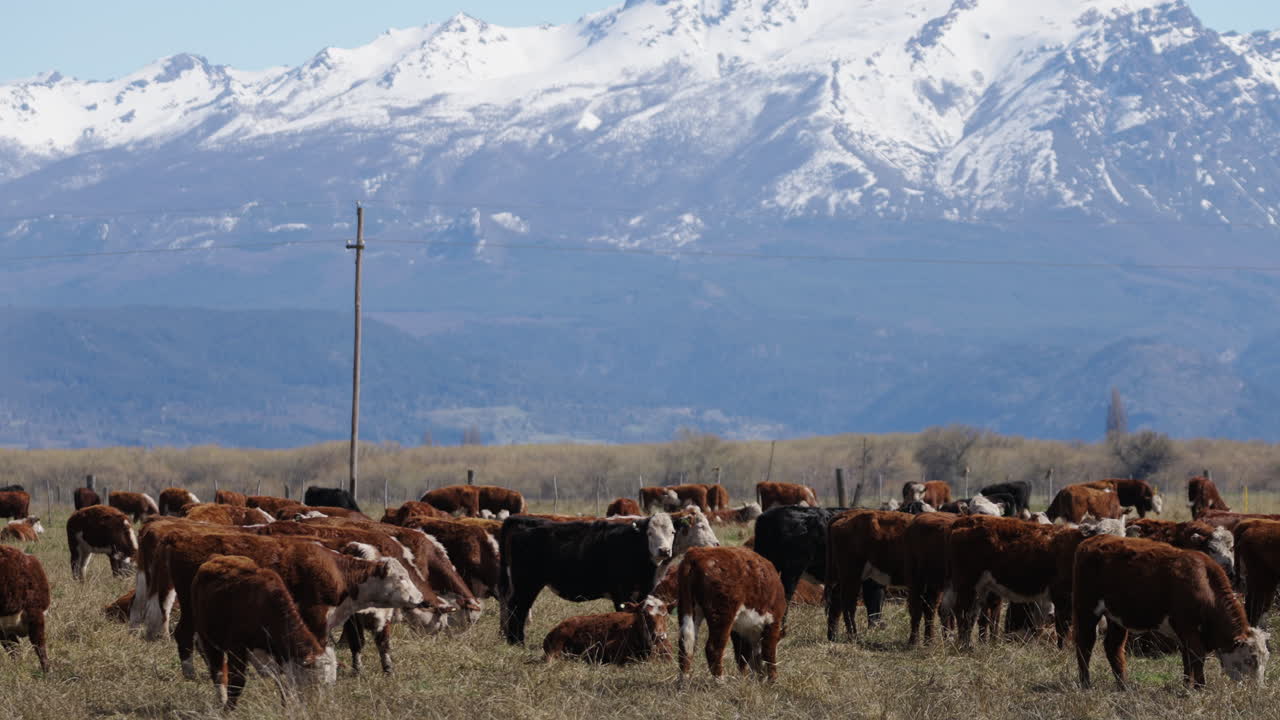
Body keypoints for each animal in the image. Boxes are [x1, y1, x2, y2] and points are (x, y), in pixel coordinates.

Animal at [192, 555, 338, 710]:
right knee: (218, 671)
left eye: (330, 684)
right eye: (317, 682)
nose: (322, 707)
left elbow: (284, 684)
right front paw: (228, 709)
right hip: (207, 639)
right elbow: (237, 682)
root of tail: (217, 557)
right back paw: (221, 700)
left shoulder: (281, 654)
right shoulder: (237, 648)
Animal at [498, 513, 682, 645]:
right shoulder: (621, 593)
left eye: (672, 532)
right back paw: (517, 642)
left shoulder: (643, 591)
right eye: (650, 533)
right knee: (518, 608)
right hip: (526, 583)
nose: (664, 550)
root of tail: (522, 520)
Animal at [677, 546, 786, 683]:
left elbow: (742, 654)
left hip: (687, 607)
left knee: (686, 643)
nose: (759, 675)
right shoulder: (773, 621)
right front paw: (773, 679)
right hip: (722, 613)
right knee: (713, 648)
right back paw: (720, 680)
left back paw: (684, 680)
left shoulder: (739, 629)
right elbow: (769, 652)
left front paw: (744, 678)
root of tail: (696, 553)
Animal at [825, 510, 913, 641]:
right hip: (852, 575)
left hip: (846, 576)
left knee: (836, 600)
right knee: (848, 604)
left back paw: (833, 636)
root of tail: (847, 514)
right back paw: (853, 636)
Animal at [1073, 535, 1269, 689]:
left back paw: (1124, 686)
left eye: (1265, 658)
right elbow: (1197, 657)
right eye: (1249, 659)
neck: (1204, 584)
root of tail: (1092, 541)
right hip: (1087, 609)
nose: (1257, 689)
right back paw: (1086, 684)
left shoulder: (1184, 634)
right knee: (1085, 644)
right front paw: (1200, 687)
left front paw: (1186, 686)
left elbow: (1187, 659)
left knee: (1113, 647)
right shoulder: (1187, 627)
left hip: (1116, 618)